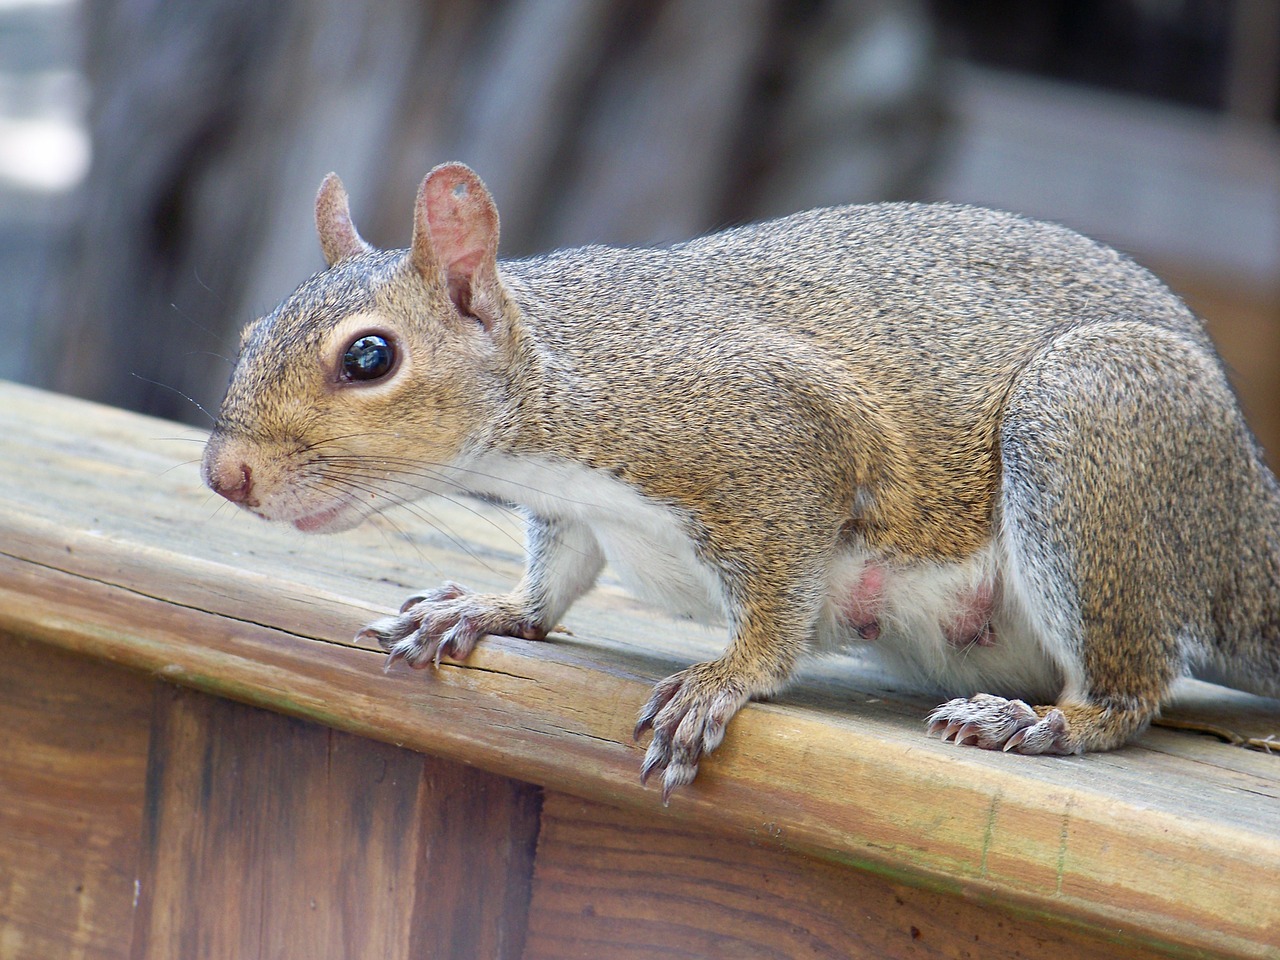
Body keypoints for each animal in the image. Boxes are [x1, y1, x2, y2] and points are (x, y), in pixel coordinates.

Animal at [202, 163, 1280, 803]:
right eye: (249, 333)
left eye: (370, 357)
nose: (225, 477)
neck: (561, 379)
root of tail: (1243, 512)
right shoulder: (572, 511)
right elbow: (555, 578)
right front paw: (489, 611)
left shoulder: (779, 447)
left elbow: (777, 599)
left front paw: (723, 681)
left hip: (1087, 432)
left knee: (1132, 688)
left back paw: (1044, 722)